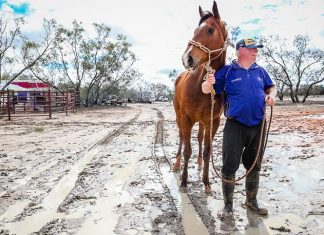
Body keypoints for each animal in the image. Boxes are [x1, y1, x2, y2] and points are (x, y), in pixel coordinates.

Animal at [173, 0, 229, 194]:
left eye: (210, 30)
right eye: (195, 30)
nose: (187, 58)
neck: (202, 87)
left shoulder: (213, 121)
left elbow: (207, 150)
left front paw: (206, 182)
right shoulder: (186, 119)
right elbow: (187, 149)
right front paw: (183, 182)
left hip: (203, 122)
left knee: (199, 139)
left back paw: (197, 163)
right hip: (179, 117)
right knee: (182, 138)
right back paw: (176, 164)